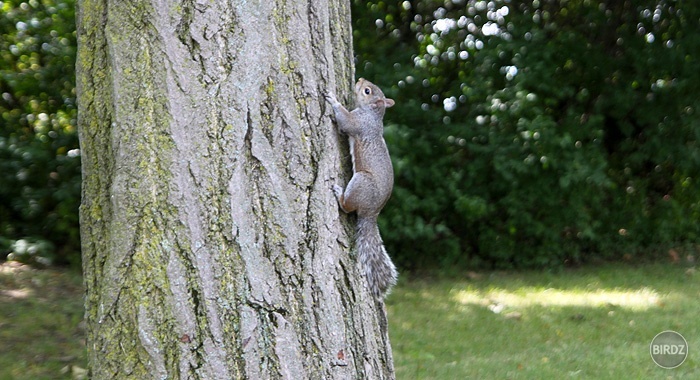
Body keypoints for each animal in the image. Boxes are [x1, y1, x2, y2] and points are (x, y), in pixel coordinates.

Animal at [324, 78, 396, 298]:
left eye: (367, 91)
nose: (360, 79)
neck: (373, 115)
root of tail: (371, 212)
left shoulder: (358, 124)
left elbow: (345, 121)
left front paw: (333, 99)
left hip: (360, 182)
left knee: (348, 207)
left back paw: (339, 194)